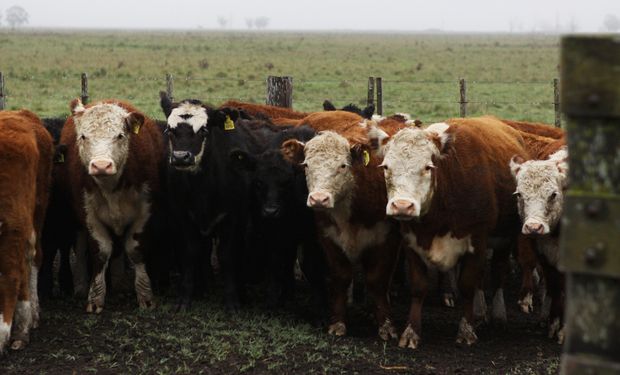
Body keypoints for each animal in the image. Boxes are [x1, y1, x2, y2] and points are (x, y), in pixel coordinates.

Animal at [59, 100, 162, 314]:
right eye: (83, 136)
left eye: (120, 135)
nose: (101, 165)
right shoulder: (88, 215)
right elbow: (101, 252)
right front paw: (95, 298)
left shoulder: (145, 212)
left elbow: (135, 250)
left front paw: (146, 297)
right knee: (81, 246)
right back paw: (81, 286)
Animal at [282, 126, 402, 340]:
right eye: (306, 165)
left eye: (343, 166)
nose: (318, 199)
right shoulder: (328, 238)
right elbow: (341, 276)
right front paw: (338, 322)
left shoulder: (387, 238)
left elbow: (377, 280)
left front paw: (386, 325)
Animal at [380, 118, 532, 350]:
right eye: (386, 166)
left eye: (427, 167)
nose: (402, 206)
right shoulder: (411, 241)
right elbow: (418, 287)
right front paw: (411, 332)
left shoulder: (477, 240)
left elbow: (468, 285)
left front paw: (466, 331)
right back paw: (480, 312)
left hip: (504, 238)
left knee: (497, 272)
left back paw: (497, 315)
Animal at [508, 144, 568, 344]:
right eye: (519, 194)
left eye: (553, 194)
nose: (534, 227)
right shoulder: (547, 258)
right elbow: (556, 288)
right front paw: (554, 324)